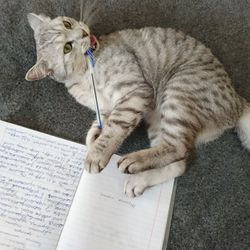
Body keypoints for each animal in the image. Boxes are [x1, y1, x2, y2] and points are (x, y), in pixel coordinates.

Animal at [25, 13, 250, 197]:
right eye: (67, 47)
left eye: (67, 23)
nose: (83, 32)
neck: (83, 78)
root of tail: (238, 101)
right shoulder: (106, 106)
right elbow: (101, 123)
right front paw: (94, 137)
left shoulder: (135, 92)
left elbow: (114, 127)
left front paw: (97, 153)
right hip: (159, 120)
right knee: (179, 163)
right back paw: (139, 179)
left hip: (178, 94)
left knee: (177, 148)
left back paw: (134, 161)